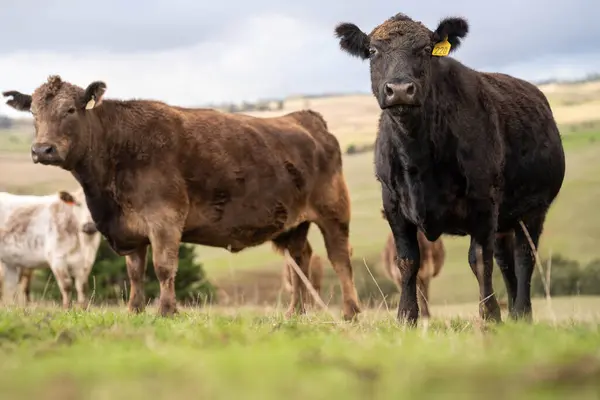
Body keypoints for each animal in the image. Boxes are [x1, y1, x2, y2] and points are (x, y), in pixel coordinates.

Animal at [2, 74, 360, 318]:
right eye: (33, 113)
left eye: (71, 110)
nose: (42, 149)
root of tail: (305, 118)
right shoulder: (131, 228)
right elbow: (135, 273)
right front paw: (134, 311)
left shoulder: (165, 218)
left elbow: (163, 267)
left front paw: (166, 311)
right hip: (292, 224)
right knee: (299, 260)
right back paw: (295, 312)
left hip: (334, 211)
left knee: (340, 258)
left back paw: (350, 312)